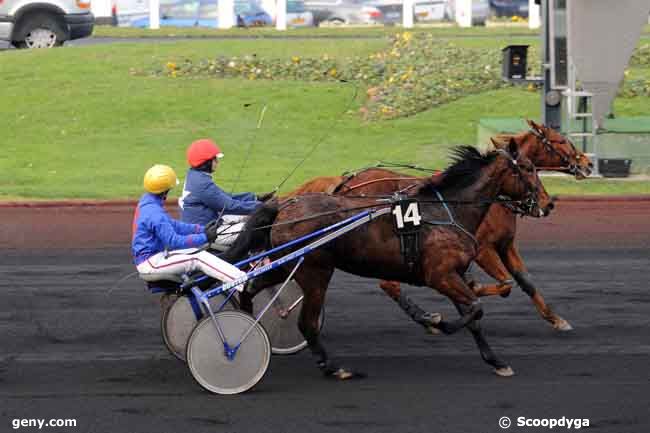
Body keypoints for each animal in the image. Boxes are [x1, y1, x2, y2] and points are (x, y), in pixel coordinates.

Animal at [225, 144, 548, 378]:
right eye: (528, 168)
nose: (547, 203)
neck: (446, 212)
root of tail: (284, 206)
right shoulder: (440, 275)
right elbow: (475, 308)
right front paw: (440, 323)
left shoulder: (453, 273)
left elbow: (475, 316)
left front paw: (496, 361)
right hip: (314, 271)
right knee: (307, 323)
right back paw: (333, 367)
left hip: (287, 264)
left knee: (249, 288)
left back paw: (246, 324)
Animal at [284, 120, 592, 330]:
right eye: (562, 141)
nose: (588, 164)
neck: (487, 196)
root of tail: (344, 182)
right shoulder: (483, 249)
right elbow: (504, 285)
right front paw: (473, 288)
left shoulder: (506, 245)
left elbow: (526, 281)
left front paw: (556, 318)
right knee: (389, 284)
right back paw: (427, 317)